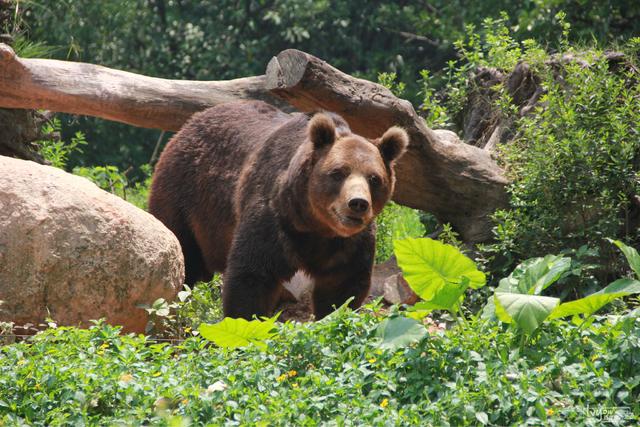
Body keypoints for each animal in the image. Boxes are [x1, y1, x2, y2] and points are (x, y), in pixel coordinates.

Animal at [149, 100, 408, 320]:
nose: (357, 203)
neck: (314, 223)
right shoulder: (273, 218)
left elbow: (342, 286)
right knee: (184, 254)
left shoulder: (349, 243)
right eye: (338, 172)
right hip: (185, 198)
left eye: (374, 178)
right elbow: (252, 277)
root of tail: (190, 123)